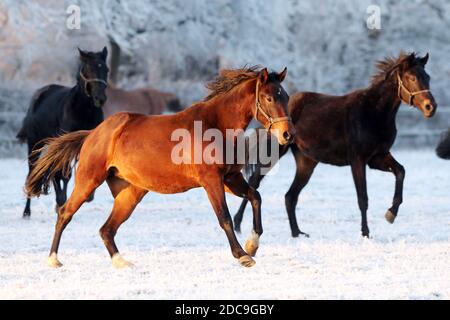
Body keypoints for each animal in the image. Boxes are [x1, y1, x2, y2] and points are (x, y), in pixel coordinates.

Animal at [17, 47, 110, 218]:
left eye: (105, 69)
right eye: (87, 69)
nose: (100, 98)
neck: (84, 111)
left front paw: (87, 196)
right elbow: (63, 174)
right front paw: (61, 202)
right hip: (34, 144)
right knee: (33, 171)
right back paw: (27, 211)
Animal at [25, 66, 296, 268]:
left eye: (286, 97)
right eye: (269, 97)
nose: (288, 135)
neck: (216, 125)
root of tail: (93, 133)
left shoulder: (230, 178)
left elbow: (256, 197)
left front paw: (252, 244)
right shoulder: (211, 181)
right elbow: (225, 218)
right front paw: (242, 255)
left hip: (130, 193)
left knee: (107, 229)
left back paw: (122, 262)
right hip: (88, 181)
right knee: (65, 213)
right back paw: (53, 259)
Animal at [236, 52, 436, 238]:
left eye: (427, 77)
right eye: (412, 77)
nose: (430, 107)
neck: (373, 112)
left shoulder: (377, 157)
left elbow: (400, 171)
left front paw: (391, 214)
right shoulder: (358, 160)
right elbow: (362, 198)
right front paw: (365, 233)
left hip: (306, 162)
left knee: (290, 196)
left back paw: (297, 233)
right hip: (275, 151)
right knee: (255, 181)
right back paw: (238, 224)